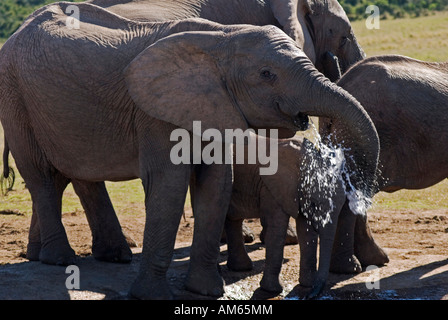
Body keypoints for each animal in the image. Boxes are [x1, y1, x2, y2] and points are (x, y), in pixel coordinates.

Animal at [226, 134, 348, 298]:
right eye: (315, 203)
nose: (311, 296)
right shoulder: (273, 188)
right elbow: (277, 229)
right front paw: (272, 290)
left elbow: (306, 231)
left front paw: (307, 284)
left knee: (233, 219)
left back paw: (241, 268)